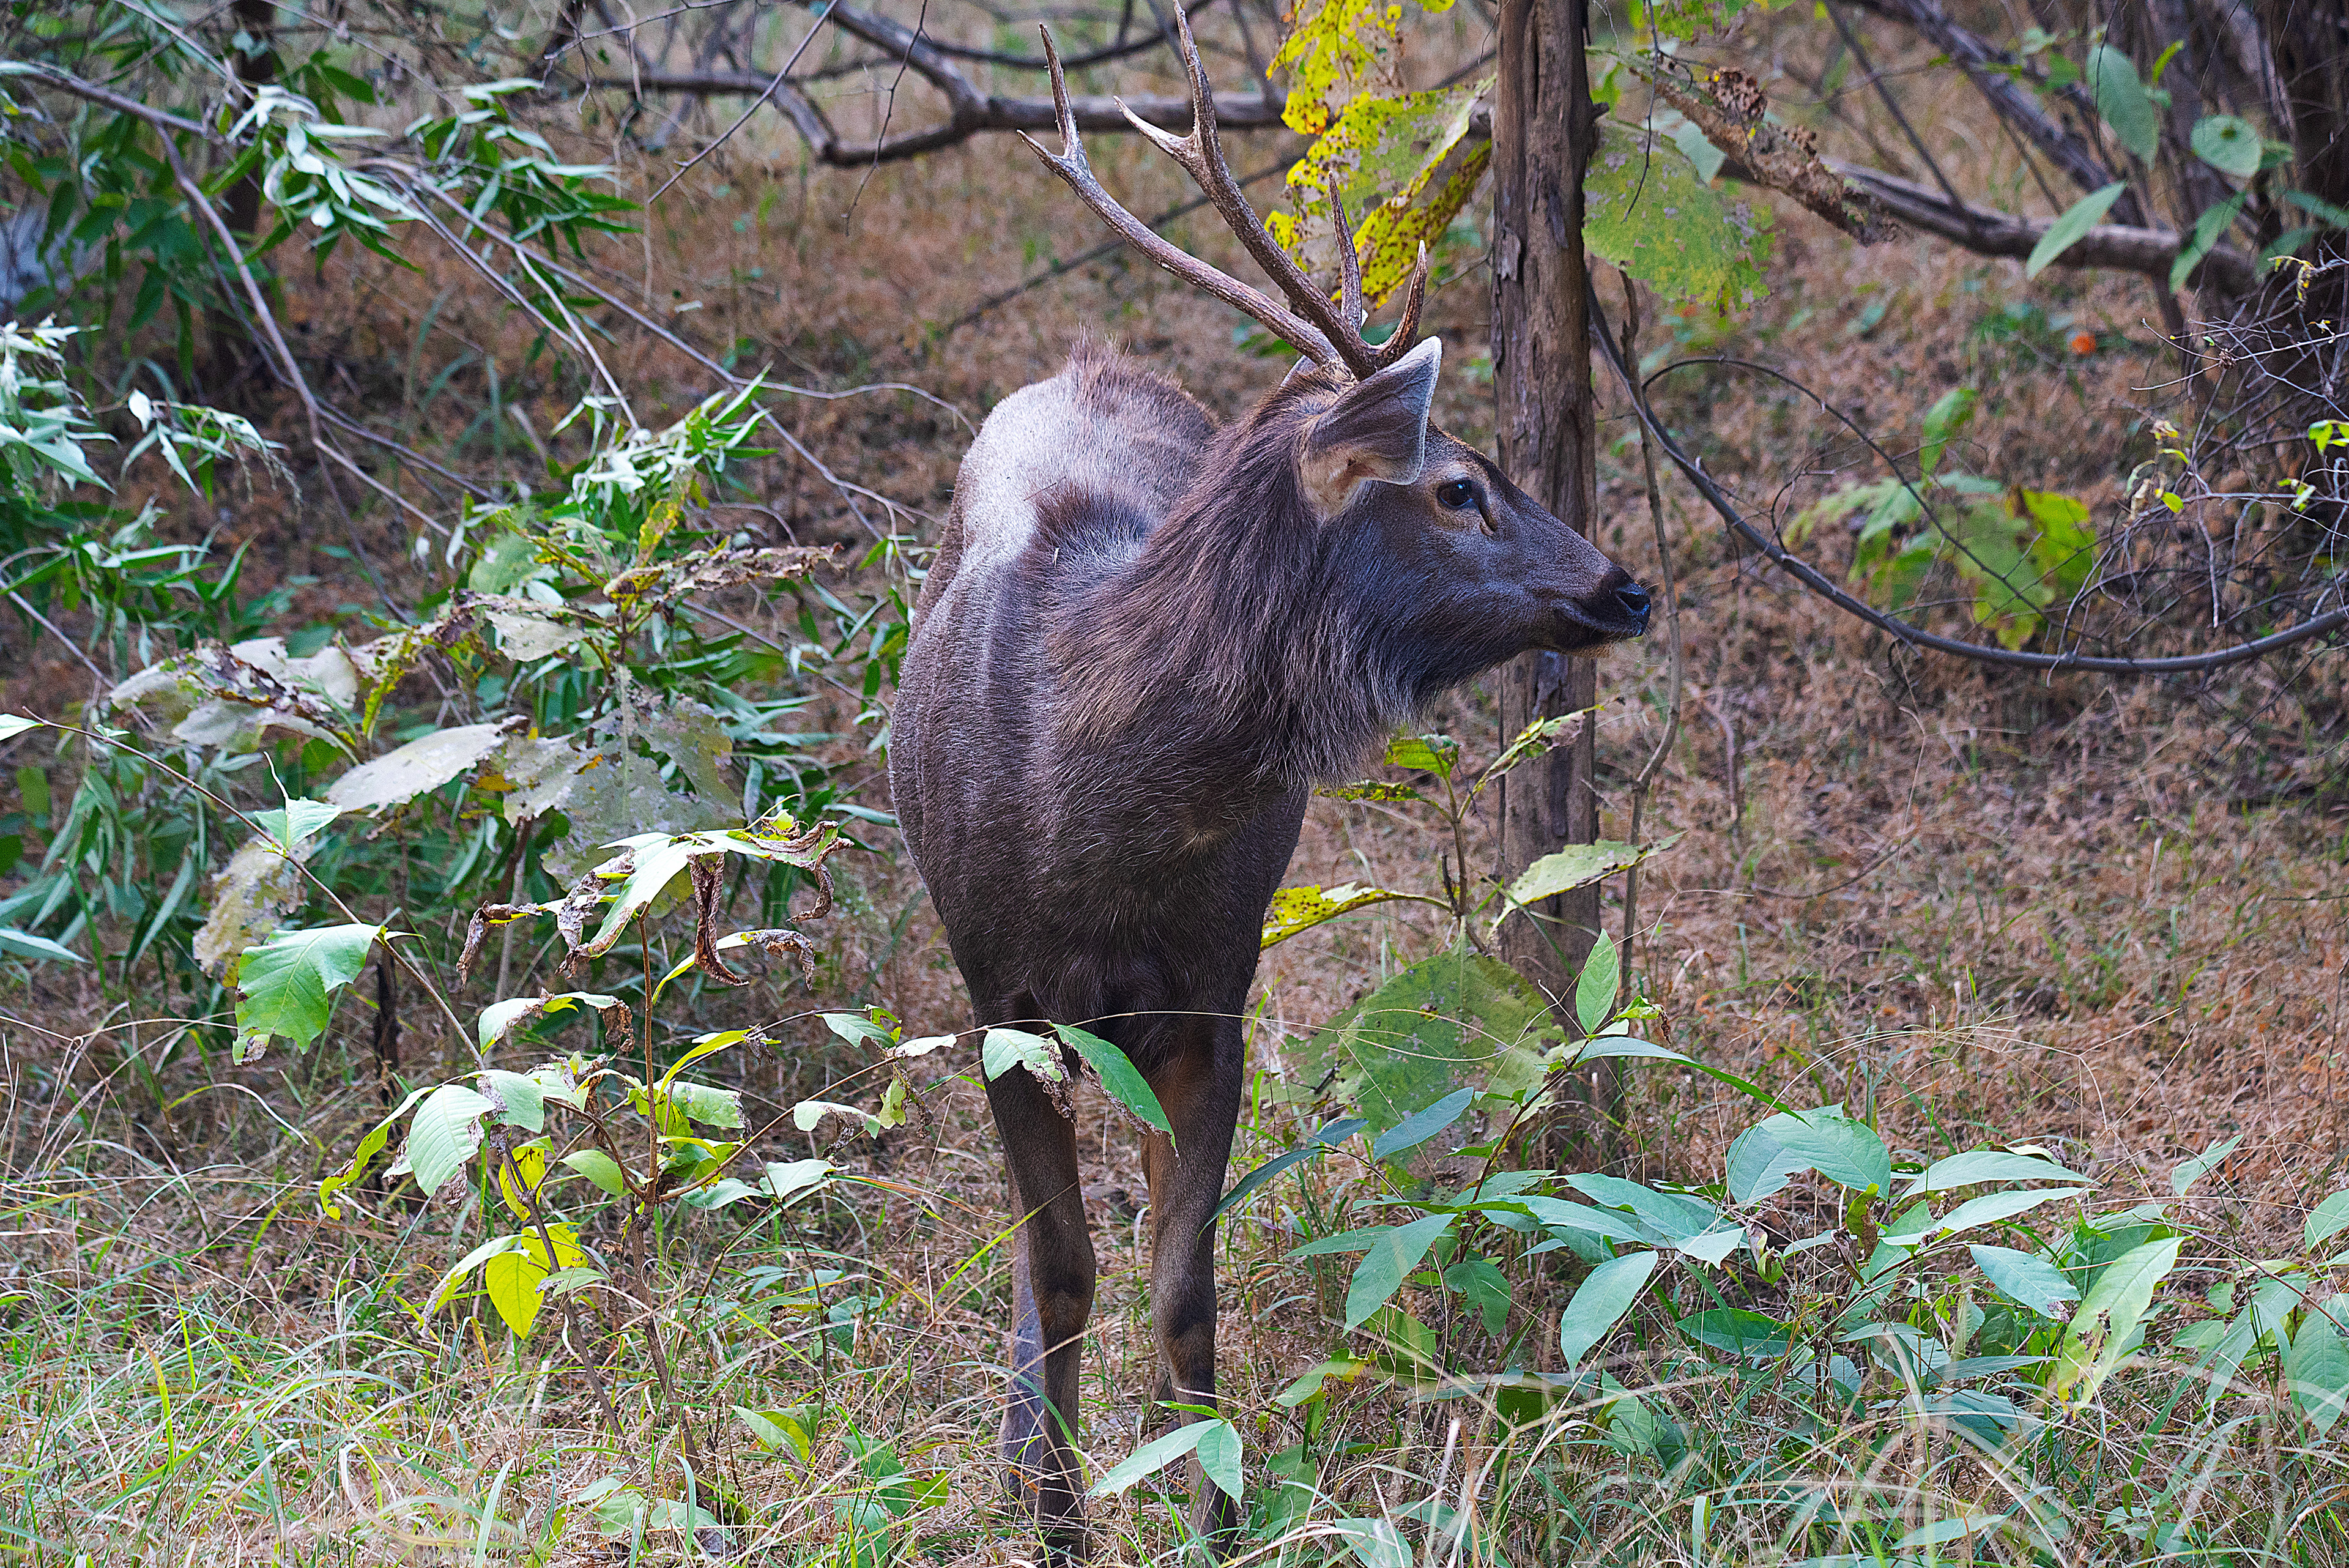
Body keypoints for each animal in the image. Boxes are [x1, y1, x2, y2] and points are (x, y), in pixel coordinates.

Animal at [886, 15, 1651, 1555]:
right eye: (1459, 485)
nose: (1622, 584)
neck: (1091, 823)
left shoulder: (1214, 990)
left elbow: (1182, 1285)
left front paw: (1216, 1517)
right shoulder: (996, 992)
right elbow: (1063, 1267)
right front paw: (1059, 1525)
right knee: (1046, 1253)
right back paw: (1024, 1453)